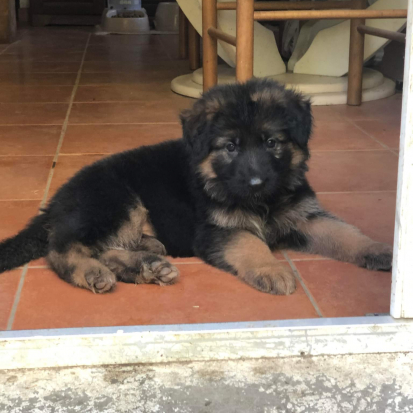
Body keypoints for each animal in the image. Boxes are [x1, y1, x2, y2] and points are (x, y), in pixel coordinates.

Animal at [0, 79, 392, 295]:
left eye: (271, 143)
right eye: (230, 146)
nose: (256, 182)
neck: (261, 202)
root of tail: (58, 201)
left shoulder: (305, 216)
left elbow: (343, 232)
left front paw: (379, 250)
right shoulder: (217, 229)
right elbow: (250, 243)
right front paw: (272, 270)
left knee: (104, 248)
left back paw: (146, 264)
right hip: (116, 200)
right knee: (62, 249)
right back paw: (94, 271)